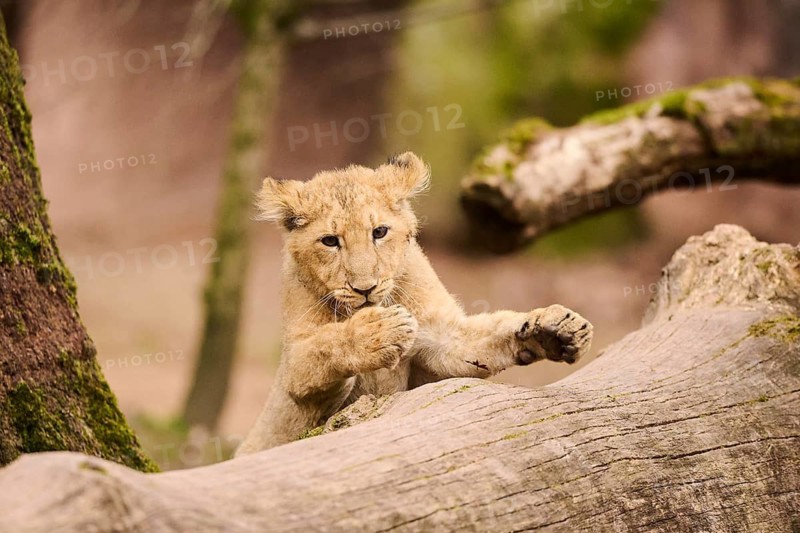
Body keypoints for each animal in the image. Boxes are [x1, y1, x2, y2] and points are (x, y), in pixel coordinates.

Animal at [235, 152, 593, 455]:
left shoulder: (443, 334)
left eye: (379, 231)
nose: (365, 288)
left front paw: (553, 329)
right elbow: (323, 347)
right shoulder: (293, 370)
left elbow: (488, 337)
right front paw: (377, 332)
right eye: (330, 241)